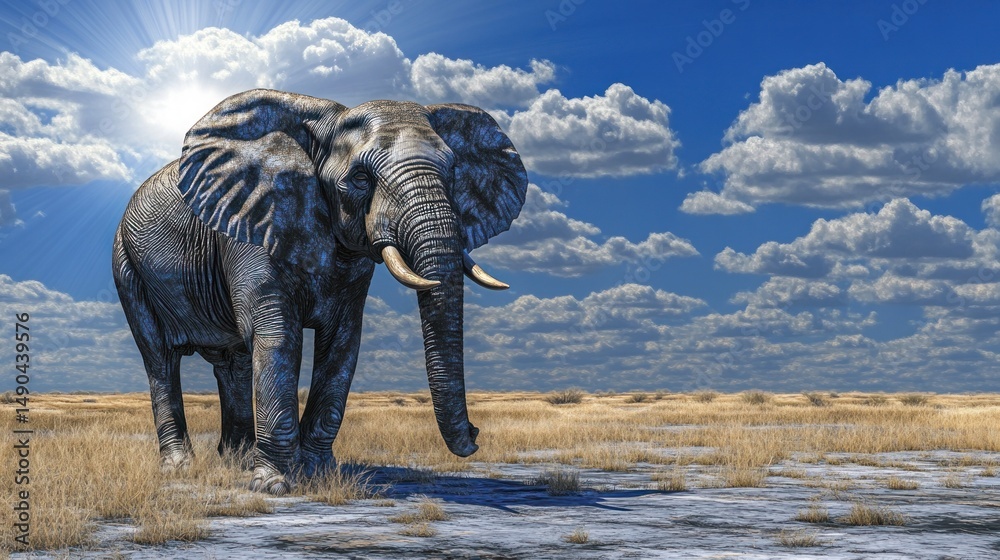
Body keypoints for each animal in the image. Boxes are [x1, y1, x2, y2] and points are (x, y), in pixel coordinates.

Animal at [112, 89, 527, 494]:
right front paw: (274, 485)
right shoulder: (254, 224)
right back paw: (180, 468)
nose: (475, 433)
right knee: (160, 359)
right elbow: (278, 335)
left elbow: (342, 343)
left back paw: (236, 462)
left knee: (234, 364)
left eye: (453, 171)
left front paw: (318, 474)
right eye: (360, 178)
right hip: (126, 266)